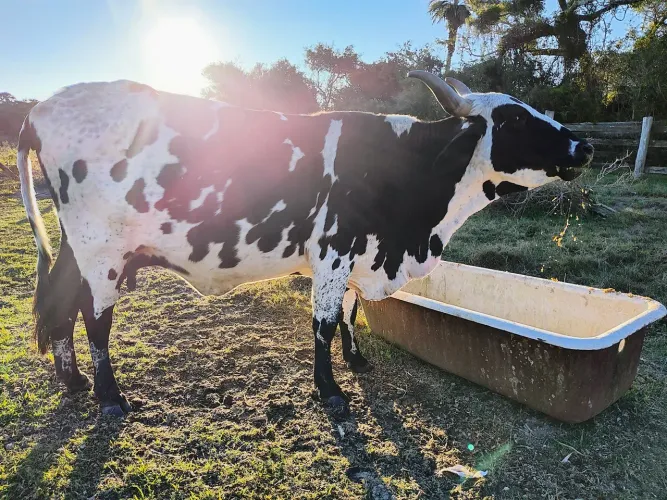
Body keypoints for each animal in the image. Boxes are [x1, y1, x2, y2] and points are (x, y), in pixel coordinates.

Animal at [17, 71, 593, 418]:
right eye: (513, 118)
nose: (584, 145)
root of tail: (40, 109)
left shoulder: (361, 255)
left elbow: (350, 315)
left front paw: (356, 363)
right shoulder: (334, 251)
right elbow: (323, 322)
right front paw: (330, 390)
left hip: (78, 249)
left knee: (58, 307)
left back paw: (73, 382)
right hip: (101, 253)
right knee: (94, 318)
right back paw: (110, 398)